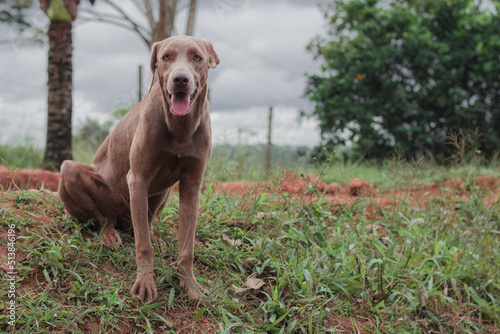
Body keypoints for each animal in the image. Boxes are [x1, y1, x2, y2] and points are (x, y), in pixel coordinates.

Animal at [57, 36, 220, 300]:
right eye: (166, 57)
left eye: (197, 57)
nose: (180, 79)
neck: (180, 127)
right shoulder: (138, 178)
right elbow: (143, 245)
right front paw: (145, 282)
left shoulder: (193, 185)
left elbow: (187, 246)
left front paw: (190, 285)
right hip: (70, 172)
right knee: (103, 218)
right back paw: (110, 234)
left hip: (162, 192)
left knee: (146, 223)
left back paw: (152, 235)